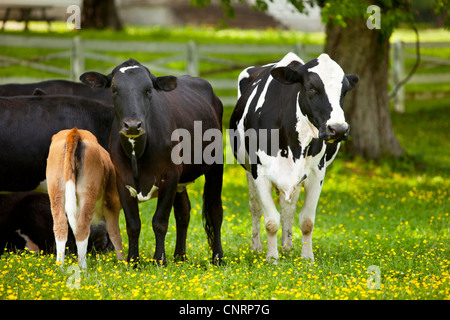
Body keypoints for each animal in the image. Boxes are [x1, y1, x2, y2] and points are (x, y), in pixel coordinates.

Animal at [46, 127, 123, 268]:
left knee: (60, 225)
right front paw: (124, 263)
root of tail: (75, 131)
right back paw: (82, 267)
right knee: (82, 228)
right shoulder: (112, 203)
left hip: (55, 190)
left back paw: (60, 267)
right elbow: (115, 233)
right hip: (88, 192)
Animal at [81, 59, 225, 264]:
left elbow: (160, 221)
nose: (133, 125)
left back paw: (218, 257)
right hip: (182, 178)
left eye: (149, 90)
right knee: (183, 212)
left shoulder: (170, 176)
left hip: (215, 164)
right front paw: (133, 261)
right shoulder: (121, 180)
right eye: (114, 90)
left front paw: (159, 261)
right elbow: (133, 224)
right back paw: (180, 257)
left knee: (215, 211)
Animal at [229, 52, 358, 262]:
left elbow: (306, 220)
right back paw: (257, 247)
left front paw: (307, 258)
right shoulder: (260, 172)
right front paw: (272, 258)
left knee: (287, 208)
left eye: (344, 90)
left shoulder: (316, 173)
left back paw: (287, 247)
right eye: (311, 87)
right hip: (248, 169)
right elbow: (271, 221)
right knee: (255, 206)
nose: (338, 129)